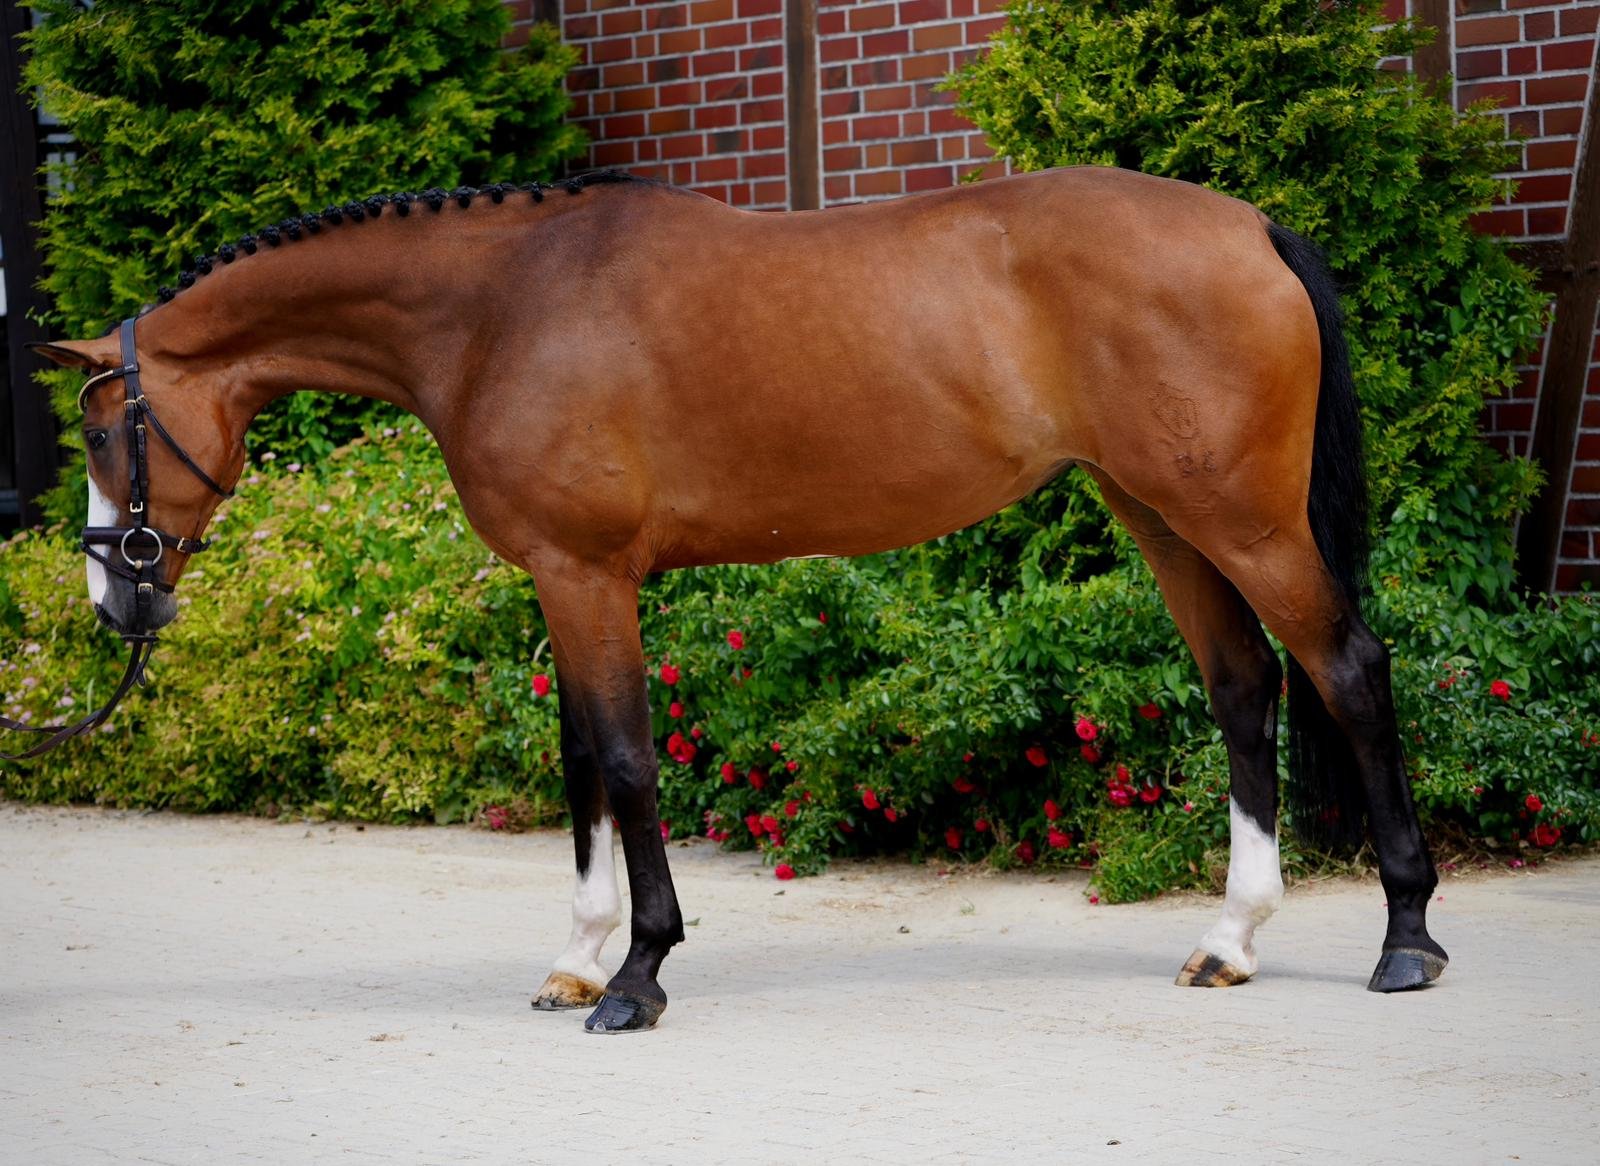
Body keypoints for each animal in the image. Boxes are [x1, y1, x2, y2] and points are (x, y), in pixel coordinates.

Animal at [14, 166, 1446, 1033]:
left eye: (95, 428)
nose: (113, 599)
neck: (498, 308)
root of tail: (1247, 225)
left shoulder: (587, 573)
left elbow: (627, 761)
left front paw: (638, 974)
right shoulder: (563, 577)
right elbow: (580, 765)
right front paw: (579, 955)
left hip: (1242, 520)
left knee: (1348, 669)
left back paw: (1405, 940)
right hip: (1157, 512)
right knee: (1243, 688)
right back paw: (1233, 936)